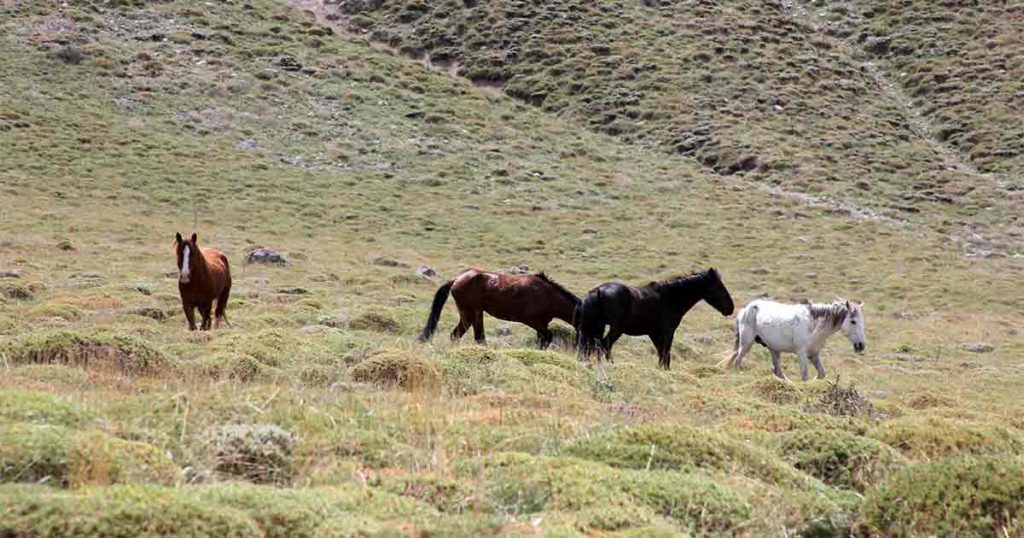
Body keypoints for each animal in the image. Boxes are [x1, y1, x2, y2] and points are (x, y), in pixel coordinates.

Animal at [418, 269, 579, 349]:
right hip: (469, 313)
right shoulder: (534, 322)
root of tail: (456, 280)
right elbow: (547, 337)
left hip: (476, 313)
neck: (547, 295)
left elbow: (543, 340)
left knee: (475, 337)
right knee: (458, 335)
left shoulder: (542, 324)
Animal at [575, 268, 735, 369]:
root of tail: (598, 291)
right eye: (719, 287)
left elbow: (660, 353)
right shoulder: (668, 332)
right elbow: (666, 353)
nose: (730, 308)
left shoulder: (654, 333)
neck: (670, 297)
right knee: (605, 345)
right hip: (615, 328)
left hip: (596, 327)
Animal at [718, 298, 866, 381]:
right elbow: (805, 376)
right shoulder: (801, 353)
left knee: (777, 371)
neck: (813, 325)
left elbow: (821, 374)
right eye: (853, 321)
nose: (861, 346)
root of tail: (746, 309)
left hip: (774, 349)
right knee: (737, 361)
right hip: (746, 344)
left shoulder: (813, 354)